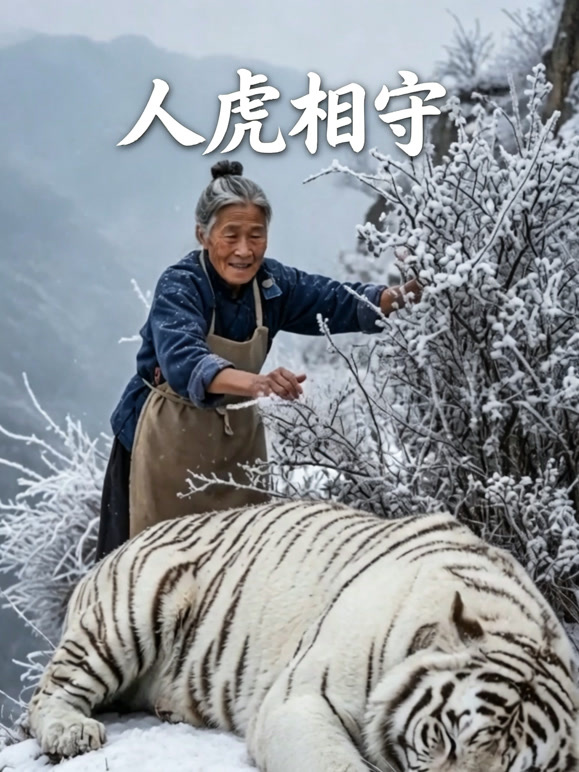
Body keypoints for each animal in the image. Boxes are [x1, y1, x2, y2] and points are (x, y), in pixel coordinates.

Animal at [27, 500, 579, 772]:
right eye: (444, 737)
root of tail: (112, 551)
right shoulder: (301, 700)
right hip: (130, 612)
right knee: (45, 696)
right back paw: (72, 732)